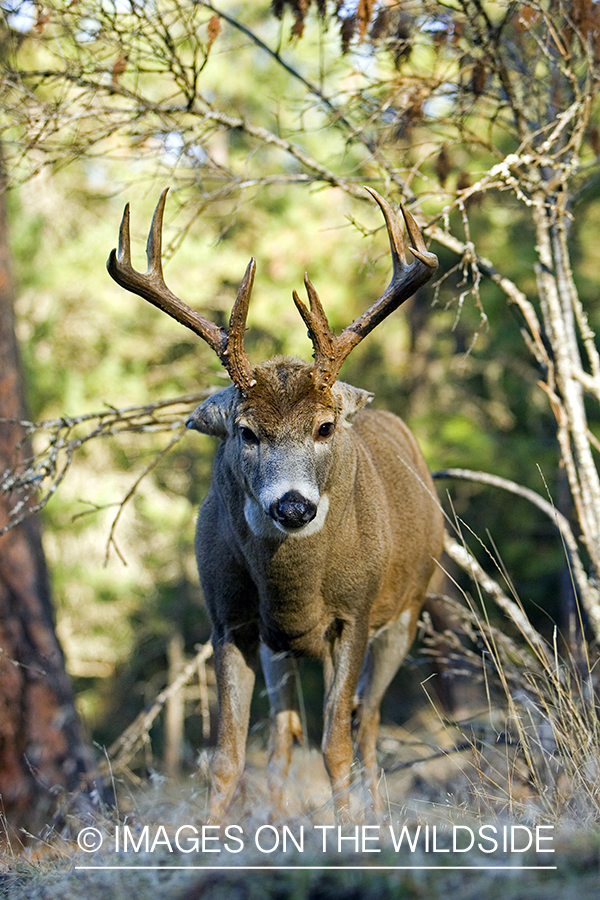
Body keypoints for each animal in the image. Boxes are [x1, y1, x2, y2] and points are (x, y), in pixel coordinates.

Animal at [109, 186, 446, 820]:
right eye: (246, 432)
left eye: (324, 426)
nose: (293, 508)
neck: (296, 593)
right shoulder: (228, 621)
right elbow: (227, 755)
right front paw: (214, 836)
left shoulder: (356, 614)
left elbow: (336, 743)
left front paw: (349, 830)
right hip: (278, 651)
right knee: (286, 733)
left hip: (409, 609)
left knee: (366, 721)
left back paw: (377, 812)